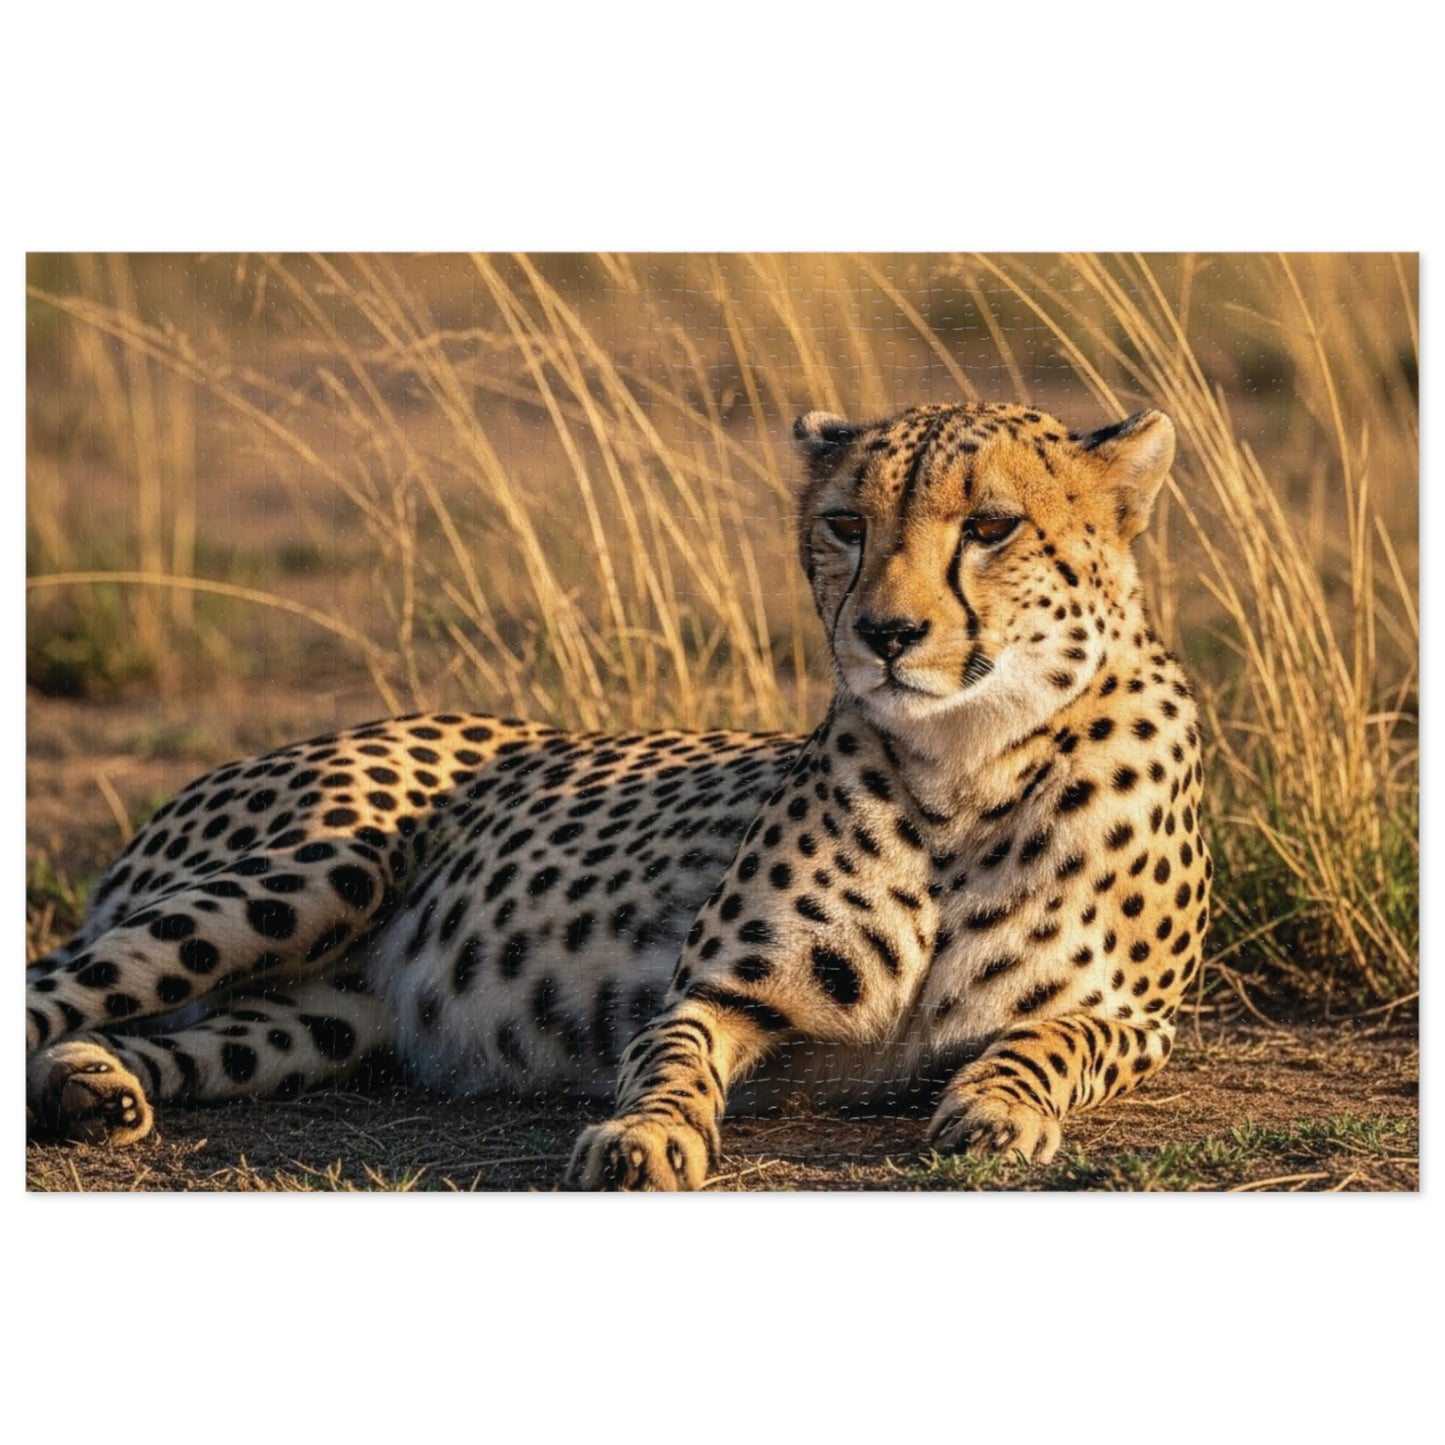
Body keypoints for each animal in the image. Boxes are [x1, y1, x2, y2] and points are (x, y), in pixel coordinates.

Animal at [26, 399, 1211, 1190]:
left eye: (991, 526)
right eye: (845, 524)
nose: (884, 633)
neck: (965, 763)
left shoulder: (1139, 1018)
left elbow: (1050, 1040)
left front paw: (996, 1107)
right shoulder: (715, 987)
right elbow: (669, 1058)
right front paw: (645, 1137)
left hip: (322, 1016)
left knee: (152, 1032)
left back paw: (94, 1086)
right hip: (321, 870)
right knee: (52, 985)